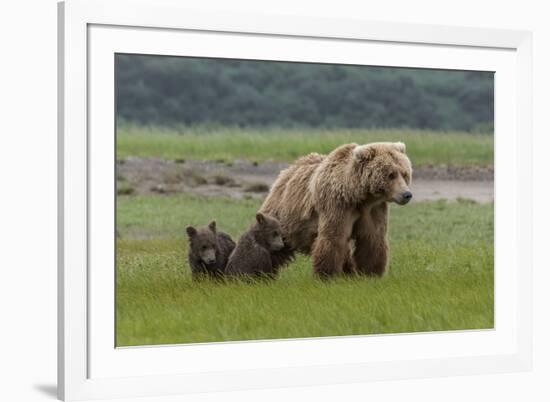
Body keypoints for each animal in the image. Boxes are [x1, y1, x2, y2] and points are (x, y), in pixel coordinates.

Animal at [262, 143, 414, 278]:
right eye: (391, 175)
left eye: (405, 174)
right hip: (284, 216)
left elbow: (372, 239)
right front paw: (326, 274)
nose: (407, 194)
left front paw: (371, 273)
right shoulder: (337, 205)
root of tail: (287, 170)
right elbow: (333, 238)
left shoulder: (373, 209)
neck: (357, 195)